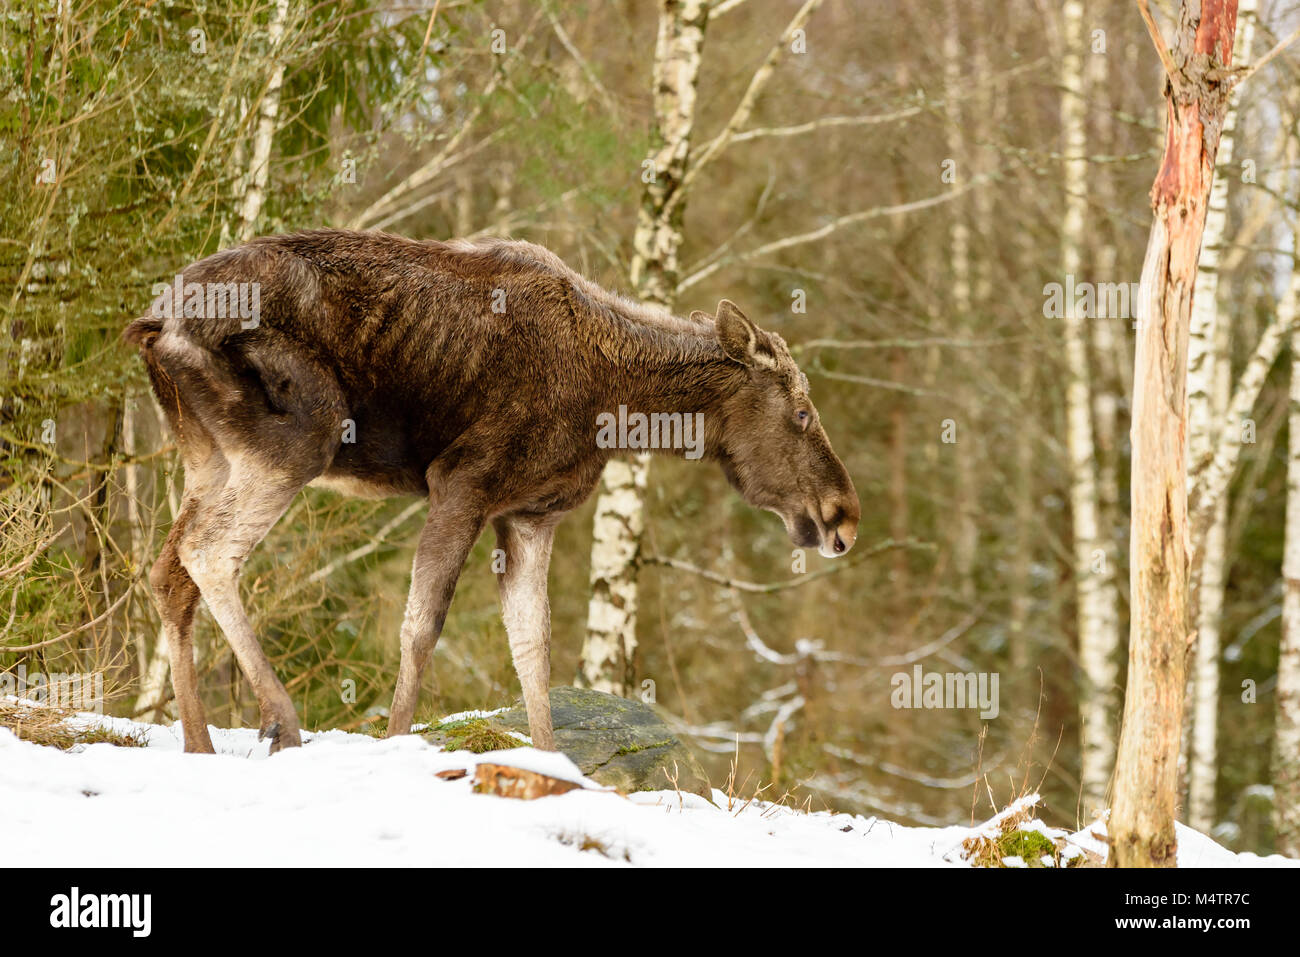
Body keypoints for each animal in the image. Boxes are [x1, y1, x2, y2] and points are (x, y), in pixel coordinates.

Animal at [124, 231, 863, 754]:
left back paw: (198, 744)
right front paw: (394, 742)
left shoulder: (530, 515)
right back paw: (279, 717)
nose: (844, 517)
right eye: (802, 412)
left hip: (210, 457)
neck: (616, 403)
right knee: (209, 554)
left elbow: (533, 647)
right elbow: (422, 625)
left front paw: (551, 759)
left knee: (168, 570)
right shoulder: (463, 481)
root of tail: (154, 325)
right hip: (305, 433)